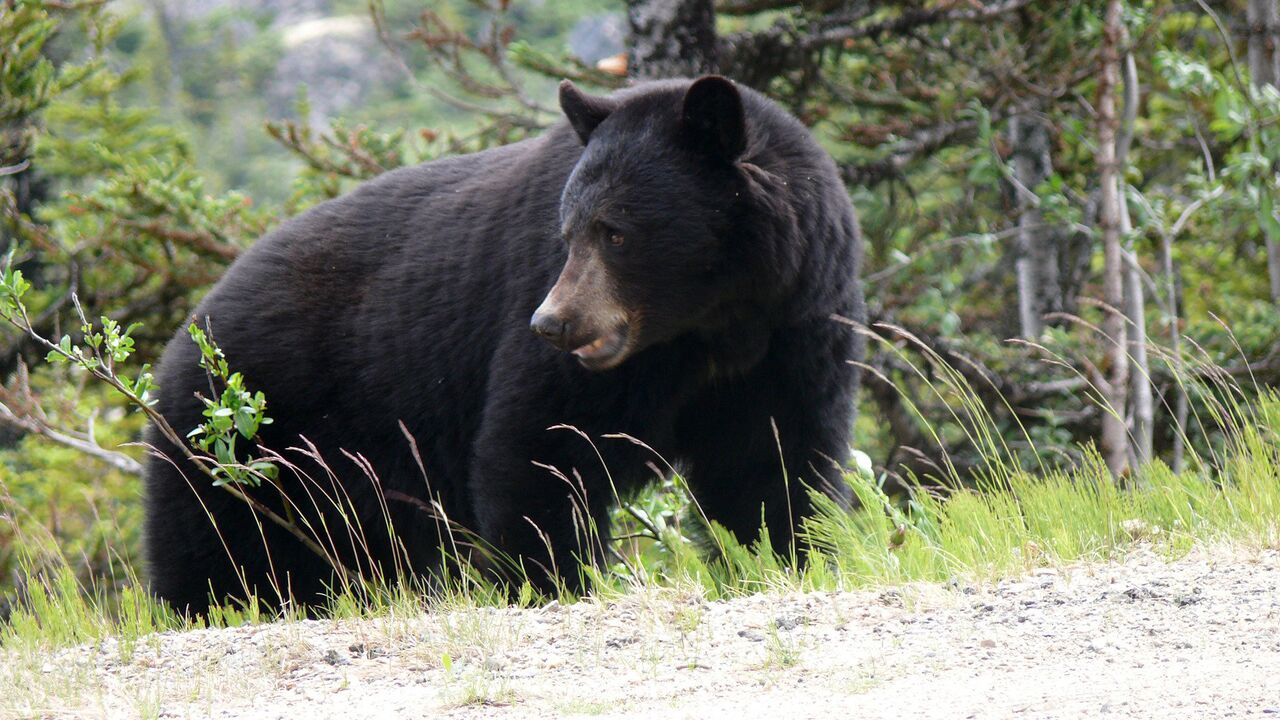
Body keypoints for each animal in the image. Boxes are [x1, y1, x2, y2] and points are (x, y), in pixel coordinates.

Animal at [145, 75, 865, 609]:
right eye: (567, 230)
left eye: (616, 231)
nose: (552, 323)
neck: (711, 327)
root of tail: (186, 334)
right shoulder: (572, 353)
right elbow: (540, 447)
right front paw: (553, 579)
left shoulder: (794, 333)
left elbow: (772, 462)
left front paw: (784, 556)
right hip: (241, 436)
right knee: (218, 546)